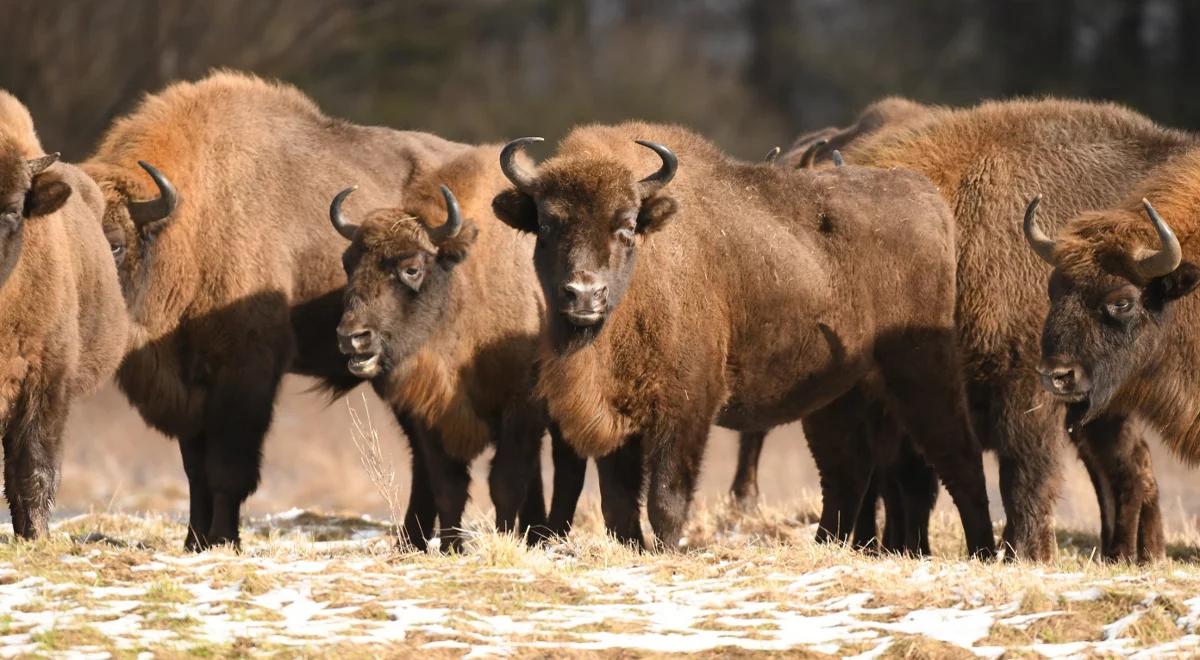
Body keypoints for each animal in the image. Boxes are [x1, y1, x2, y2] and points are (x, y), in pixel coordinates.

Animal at [331, 146, 588, 554]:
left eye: (412, 268)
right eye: (348, 263)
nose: (352, 337)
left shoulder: (520, 409)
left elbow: (505, 483)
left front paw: (503, 539)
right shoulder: (428, 416)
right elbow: (449, 487)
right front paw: (453, 547)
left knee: (565, 468)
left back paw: (547, 536)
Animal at [487, 121, 993, 556]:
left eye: (627, 226)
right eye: (546, 226)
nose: (584, 294)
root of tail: (926, 197)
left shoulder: (688, 407)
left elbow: (666, 498)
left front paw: (667, 551)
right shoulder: (617, 419)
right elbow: (619, 503)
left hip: (922, 371)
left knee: (959, 458)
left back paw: (986, 552)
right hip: (838, 397)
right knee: (846, 473)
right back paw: (825, 546)